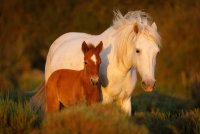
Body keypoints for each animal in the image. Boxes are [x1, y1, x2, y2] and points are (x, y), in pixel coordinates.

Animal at [32, 10, 161, 115]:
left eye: (157, 52)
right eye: (138, 50)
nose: (149, 84)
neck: (119, 68)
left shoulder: (125, 101)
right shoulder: (104, 101)